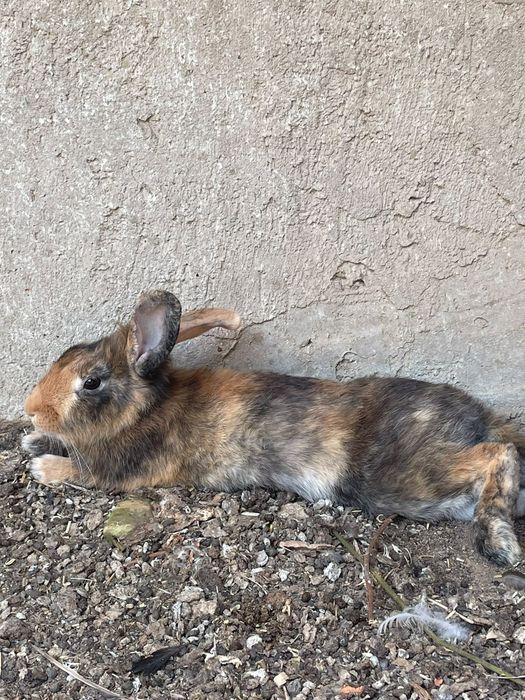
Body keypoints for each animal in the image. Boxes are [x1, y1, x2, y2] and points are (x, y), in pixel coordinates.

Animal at [22, 290, 525, 566]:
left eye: (91, 382)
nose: (30, 410)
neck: (145, 407)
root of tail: (479, 418)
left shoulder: (119, 473)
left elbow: (79, 473)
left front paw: (40, 467)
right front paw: (31, 440)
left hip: (405, 478)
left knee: (499, 455)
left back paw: (498, 544)